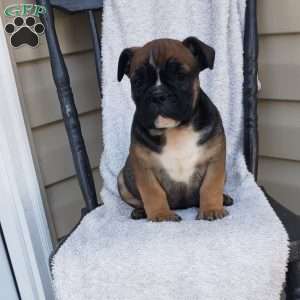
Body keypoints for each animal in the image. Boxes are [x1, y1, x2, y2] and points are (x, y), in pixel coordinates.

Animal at [116, 36, 232, 221]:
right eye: (138, 82)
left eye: (180, 76)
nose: (158, 95)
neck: (176, 129)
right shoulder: (144, 168)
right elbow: (153, 193)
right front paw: (161, 215)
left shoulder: (215, 160)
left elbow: (210, 186)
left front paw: (211, 209)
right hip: (121, 180)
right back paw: (141, 211)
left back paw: (224, 198)